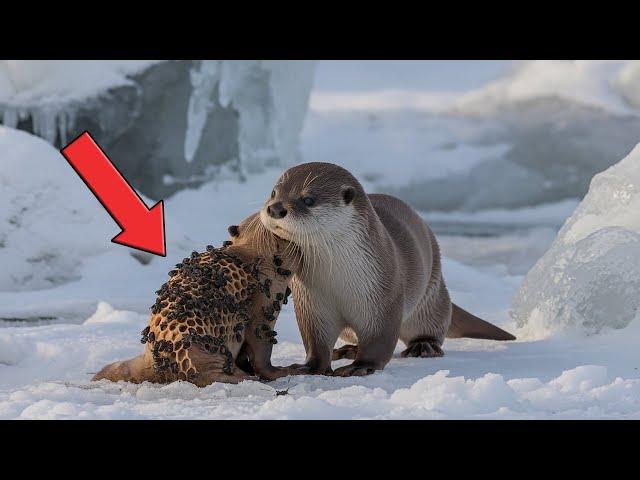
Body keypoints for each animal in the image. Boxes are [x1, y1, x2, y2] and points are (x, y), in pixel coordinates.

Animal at [260, 163, 516, 376]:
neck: (337, 279)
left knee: (432, 323)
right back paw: (348, 349)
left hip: (431, 294)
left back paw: (424, 346)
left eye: (308, 199)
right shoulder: (312, 303)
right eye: (273, 193)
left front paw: (361, 367)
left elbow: (379, 339)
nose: (275, 208)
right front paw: (307, 366)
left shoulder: (382, 293)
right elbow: (316, 341)